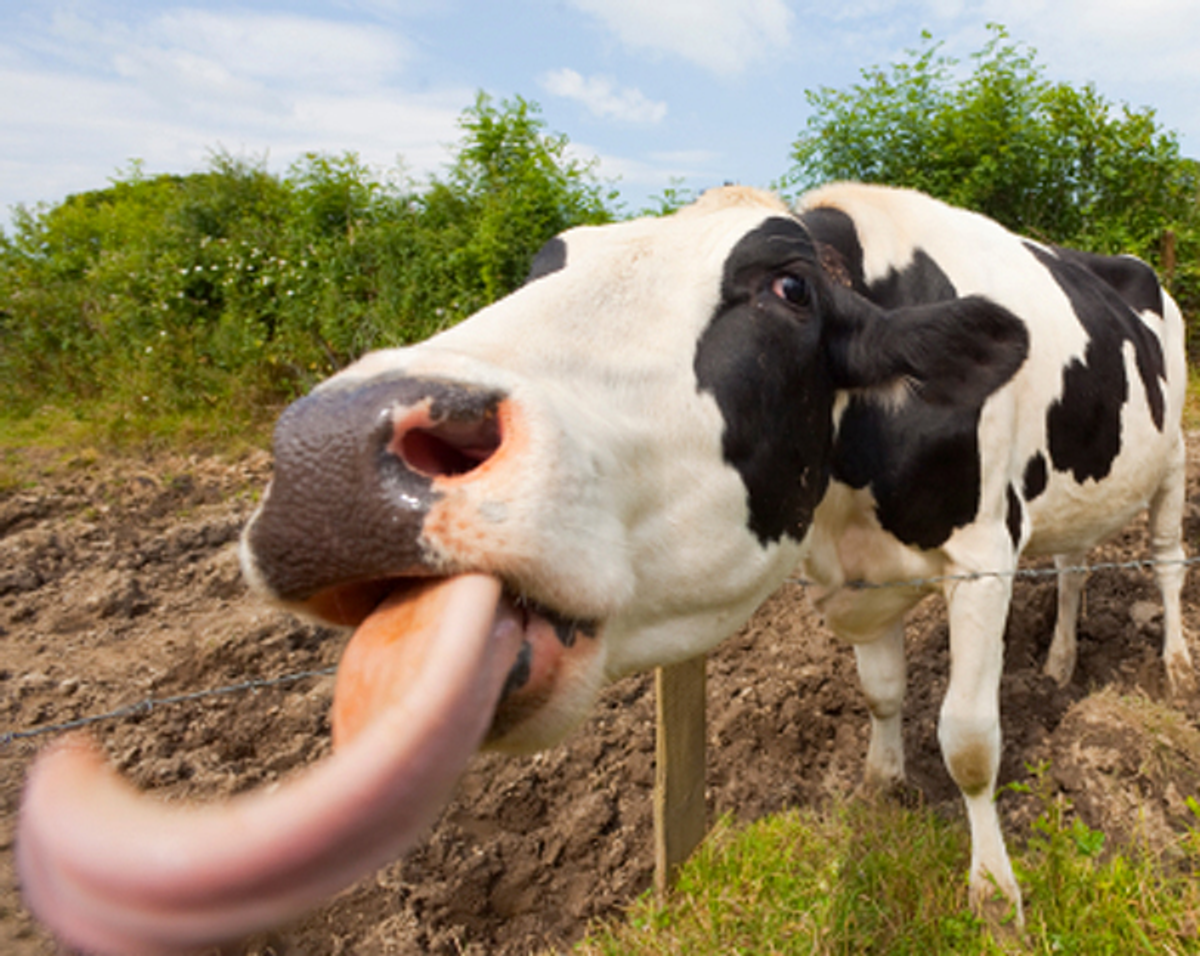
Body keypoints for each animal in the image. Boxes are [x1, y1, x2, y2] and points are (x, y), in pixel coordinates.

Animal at [18, 182, 1190, 950]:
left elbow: (972, 741)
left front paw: (994, 893)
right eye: (548, 265)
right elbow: (883, 694)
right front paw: (876, 789)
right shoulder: (847, 571)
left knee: (1170, 557)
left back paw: (1173, 662)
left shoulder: (982, 551)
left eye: (788, 289)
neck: (849, 495)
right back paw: (1065, 660)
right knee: (1075, 565)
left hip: (1176, 453)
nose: (326, 464)